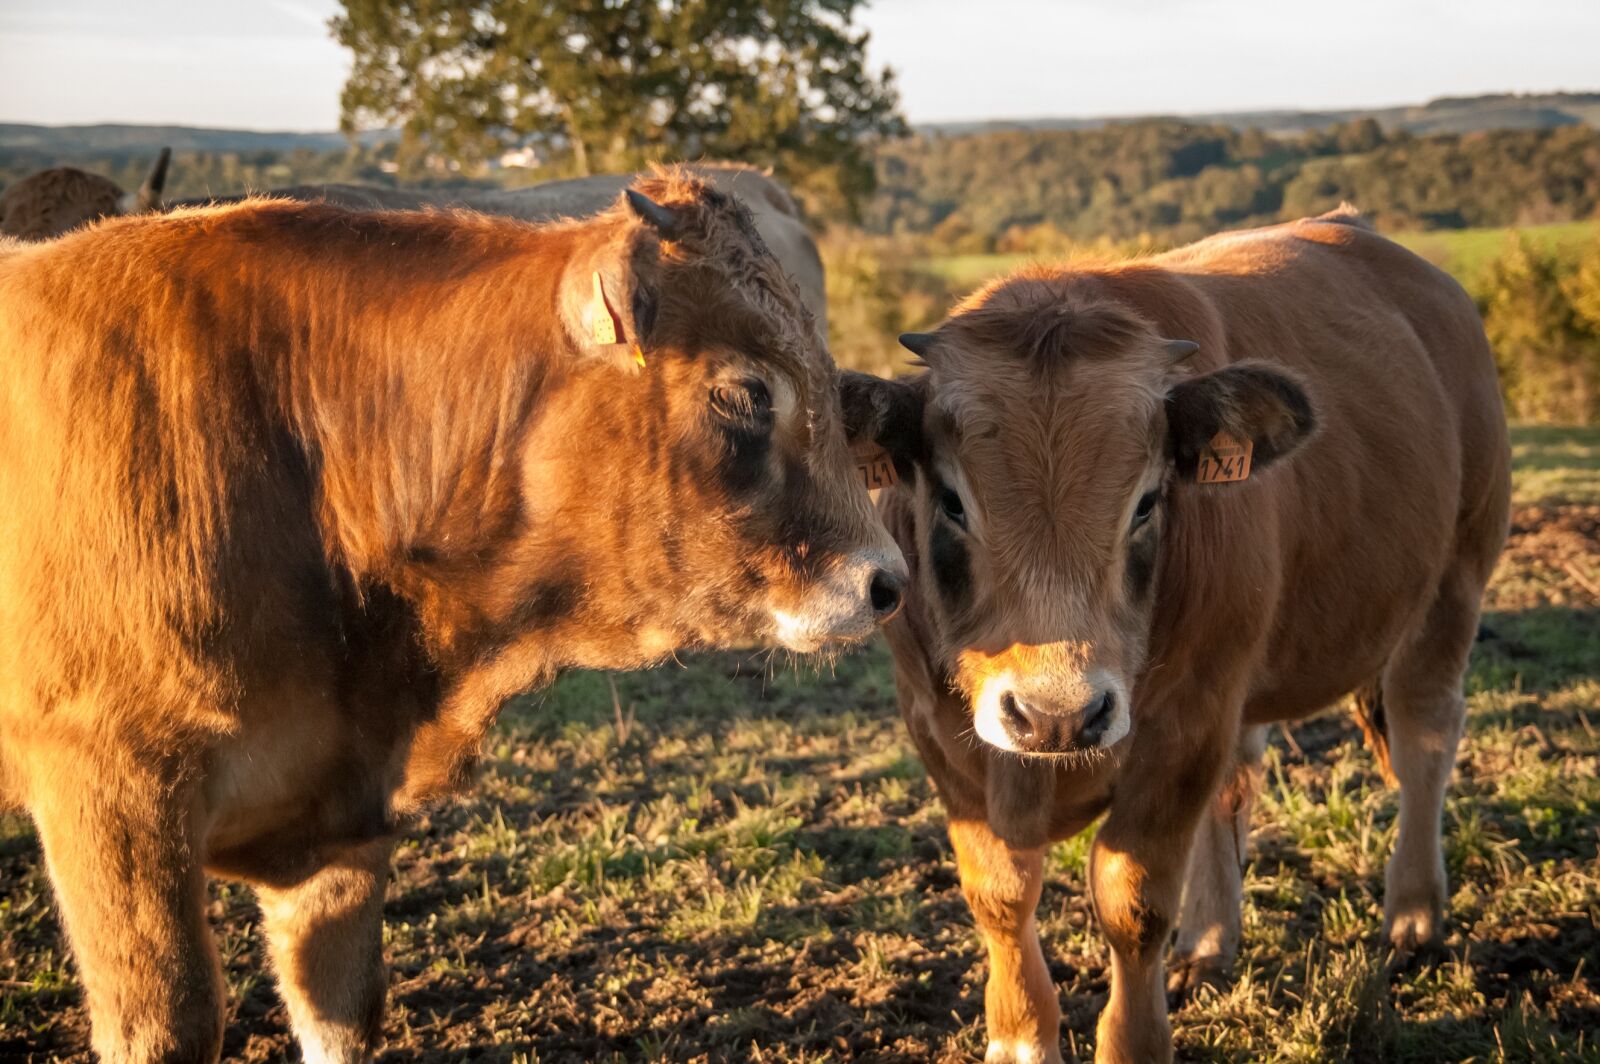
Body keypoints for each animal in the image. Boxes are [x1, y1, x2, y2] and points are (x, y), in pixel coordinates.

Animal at [0, 170, 902, 1056]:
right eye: (744, 391)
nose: (886, 582)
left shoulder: (340, 821)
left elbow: (339, 1013)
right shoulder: (111, 793)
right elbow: (168, 1021)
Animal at [844, 208, 1504, 1062]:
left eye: (1149, 500)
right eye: (952, 501)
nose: (1059, 714)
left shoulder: (1187, 722)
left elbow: (1133, 900)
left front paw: (1134, 1036)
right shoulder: (938, 728)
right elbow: (1000, 895)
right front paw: (1022, 1035)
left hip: (1453, 578)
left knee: (1426, 735)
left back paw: (1414, 915)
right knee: (1238, 784)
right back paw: (1210, 943)